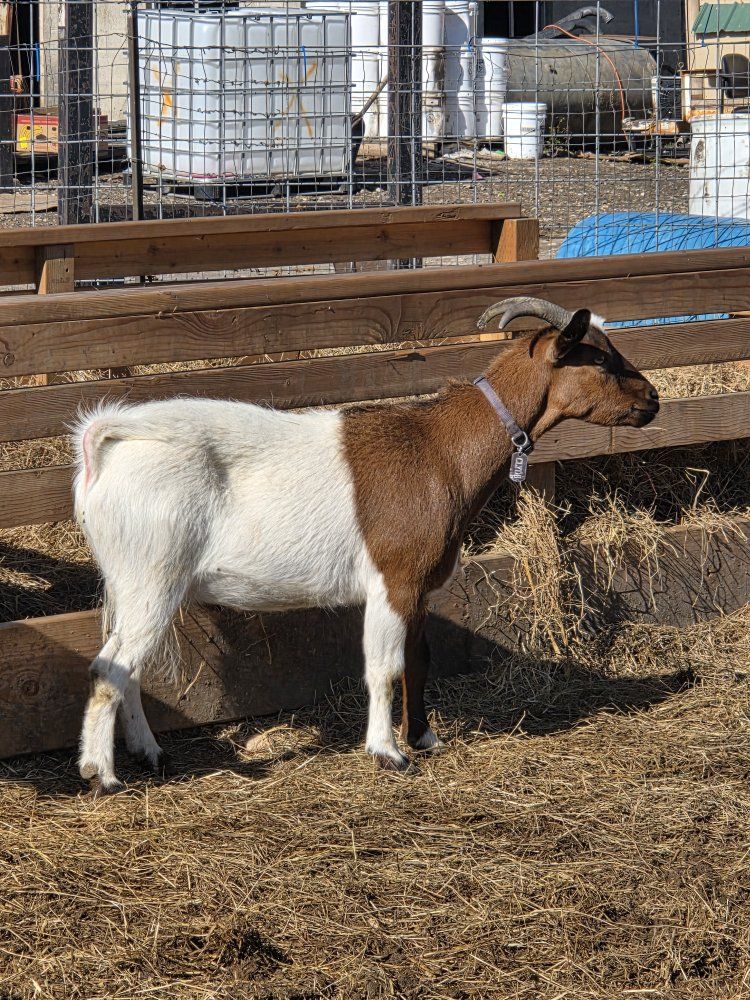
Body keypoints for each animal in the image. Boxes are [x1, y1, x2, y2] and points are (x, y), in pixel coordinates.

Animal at [72, 297, 659, 792]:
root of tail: (106, 443)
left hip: (134, 582)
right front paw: (387, 751)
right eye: (601, 359)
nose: (653, 398)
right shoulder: (392, 579)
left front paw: (424, 737)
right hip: (152, 571)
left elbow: (420, 659)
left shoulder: (421, 586)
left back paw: (150, 753)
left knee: (130, 667)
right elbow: (383, 666)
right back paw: (102, 774)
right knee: (108, 667)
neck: (441, 451)